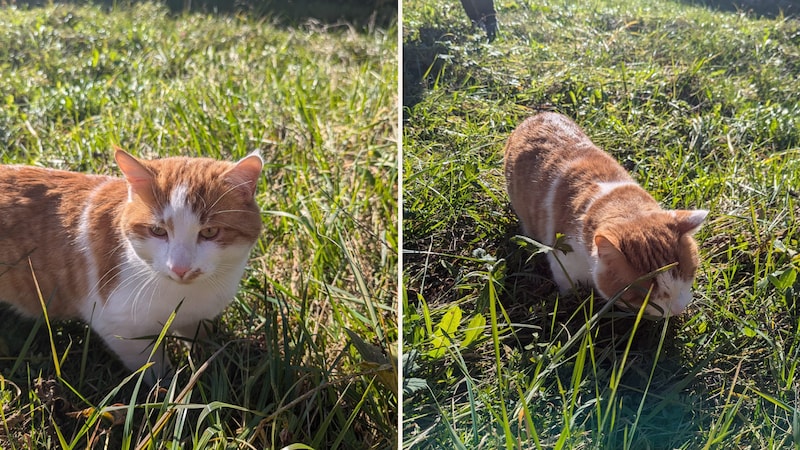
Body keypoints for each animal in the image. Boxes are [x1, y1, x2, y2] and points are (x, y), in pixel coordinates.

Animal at [0, 150, 262, 384]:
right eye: (157, 231)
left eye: (209, 232)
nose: (179, 268)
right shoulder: (119, 327)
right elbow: (153, 367)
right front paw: (167, 388)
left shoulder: (200, 317)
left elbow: (202, 342)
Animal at [504, 111, 708, 316]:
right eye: (644, 297)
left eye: (689, 276)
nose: (678, 309)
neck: (625, 208)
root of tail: (539, 114)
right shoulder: (563, 261)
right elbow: (568, 287)